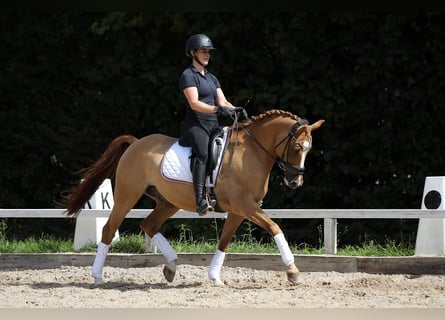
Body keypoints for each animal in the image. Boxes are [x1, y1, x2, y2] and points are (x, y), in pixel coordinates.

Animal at [65, 109, 322, 284]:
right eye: (297, 148)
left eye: (309, 149)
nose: (295, 182)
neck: (251, 153)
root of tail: (136, 143)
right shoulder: (246, 206)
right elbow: (275, 227)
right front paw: (293, 271)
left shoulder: (239, 210)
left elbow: (224, 241)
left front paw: (214, 277)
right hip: (127, 195)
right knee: (109, 228)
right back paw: (98, 276)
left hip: (168, 202)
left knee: (148, 225)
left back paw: (171, 267)